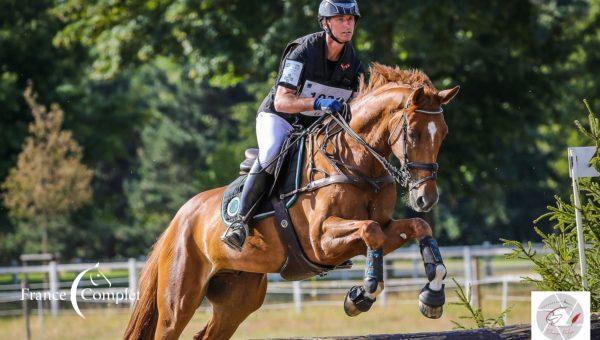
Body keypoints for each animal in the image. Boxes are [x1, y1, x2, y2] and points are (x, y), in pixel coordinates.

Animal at [123, 63, 460, 338]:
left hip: (238, 297)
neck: (355, 162)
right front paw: (360, 296)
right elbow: (370, 231)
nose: (426, 198)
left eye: (443, 134)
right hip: (179, 300)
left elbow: (417, 227)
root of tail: (178, 219)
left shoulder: (385, 226)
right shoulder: (321, 241)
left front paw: (432, 296)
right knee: (168, 327)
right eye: (413, 133)